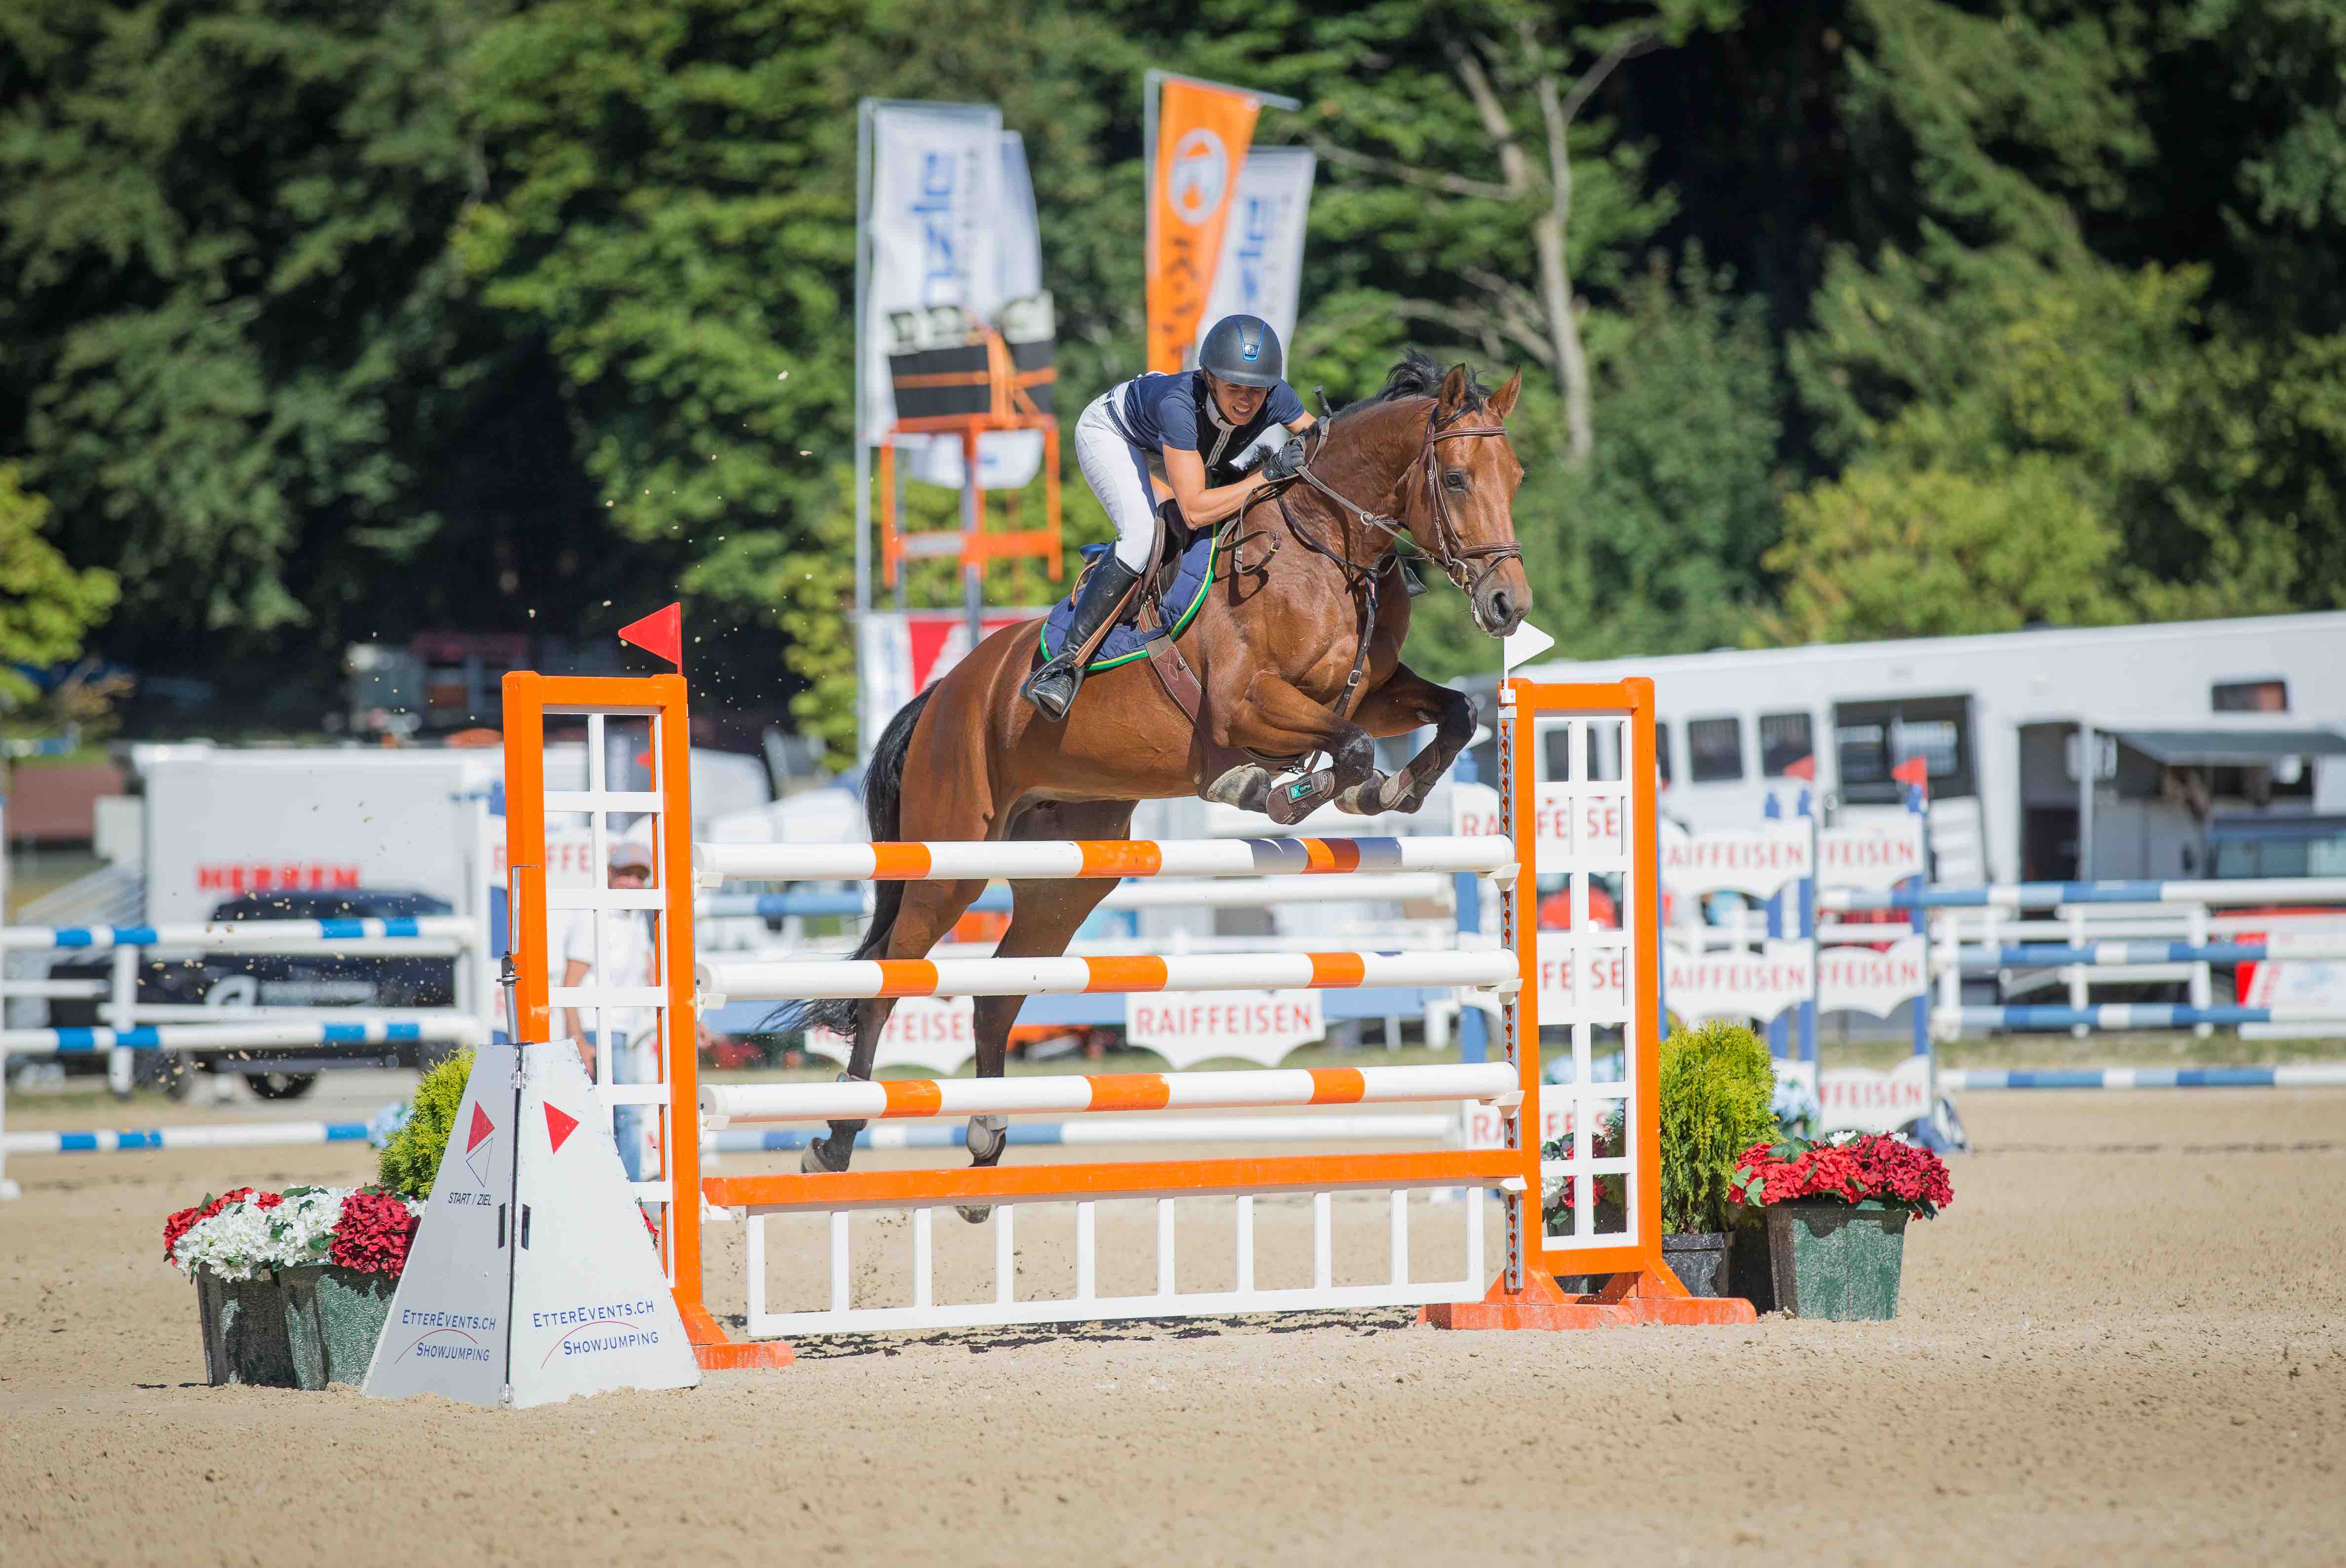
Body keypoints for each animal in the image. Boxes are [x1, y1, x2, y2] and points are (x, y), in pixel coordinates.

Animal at [798, 352, 1529, 1202]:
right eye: (1457, 479)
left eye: (1515, 476)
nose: (1508, 605)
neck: (1324, 548)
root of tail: (946, 693)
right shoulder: (1244, 708)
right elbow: (1341, 748)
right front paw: (1282, 790)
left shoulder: (1372, 692)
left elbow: (1453, 713)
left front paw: (1394, 789)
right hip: (949, 861)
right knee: (892, 976)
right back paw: (837, 1139)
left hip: (1065, 877)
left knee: (999, 989)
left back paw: (984, 1141)